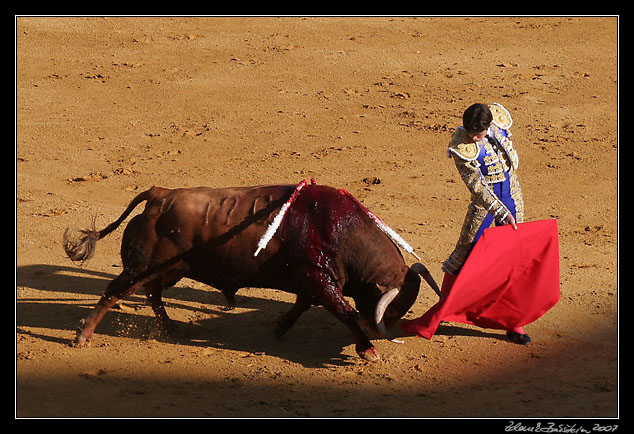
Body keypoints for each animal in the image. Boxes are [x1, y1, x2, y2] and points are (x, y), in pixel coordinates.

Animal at [64, 181, 440, 362]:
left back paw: (171, 329)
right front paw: (368, 350)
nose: (382, 330)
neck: (342, 228)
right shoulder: (321, 279)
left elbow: (303, 305)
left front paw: (278, 327)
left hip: (170, 269)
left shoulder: (313, 281)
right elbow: (343, 311)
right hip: (142, 265)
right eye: (392, 307)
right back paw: (83, 336)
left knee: (152, 293)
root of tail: (159, 195)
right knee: (115, 291)